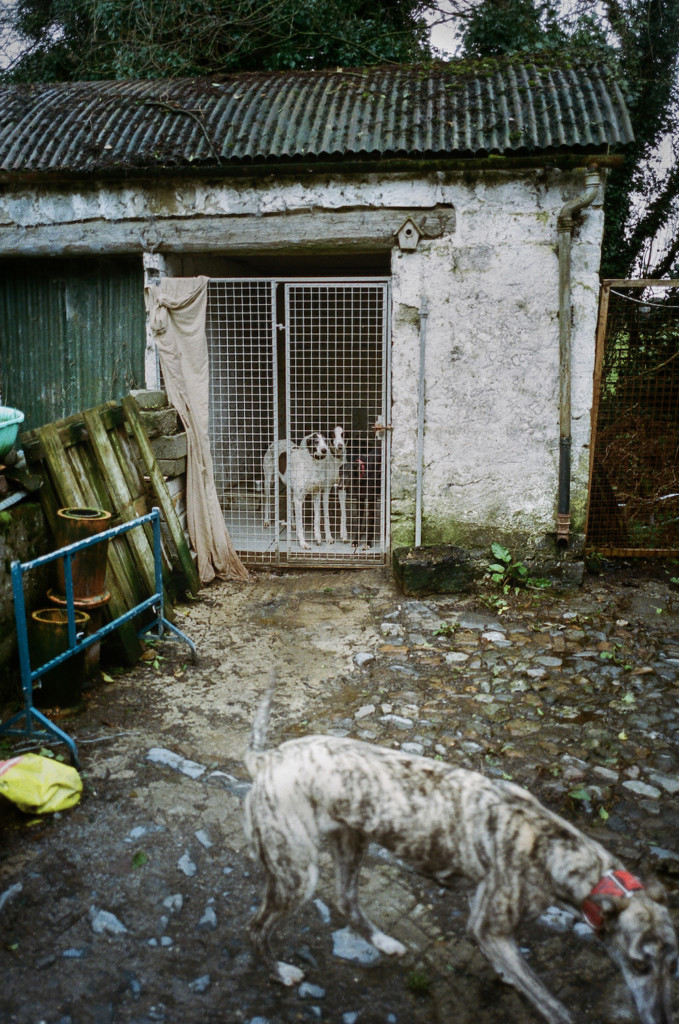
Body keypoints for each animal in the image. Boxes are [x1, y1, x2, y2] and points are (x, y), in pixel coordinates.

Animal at [244, 681, 677, 1024]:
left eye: (674, 964)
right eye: (639, 964)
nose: (660, 1018)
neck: (554, 845)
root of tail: (266, 758)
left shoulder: (482, 906)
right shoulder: (489, 929)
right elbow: (552, 1005)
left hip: (352, 843)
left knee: (347, 901)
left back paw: (382, 942)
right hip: (298, 874)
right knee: (257, 927)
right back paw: (280, 972)